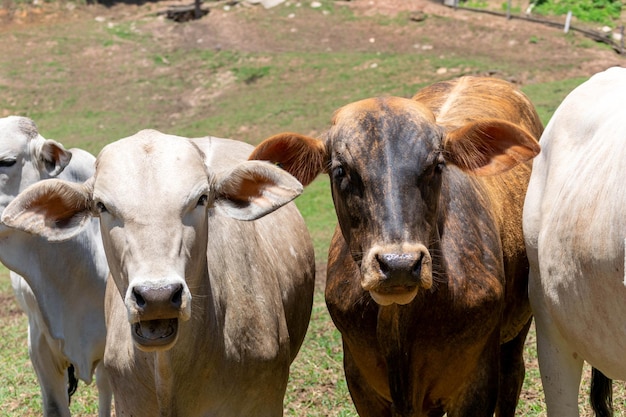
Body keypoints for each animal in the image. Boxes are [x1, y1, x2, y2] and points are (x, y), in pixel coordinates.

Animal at [249, 75, 540, 416]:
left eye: (438, 165)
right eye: (340, 170)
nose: (399, 264)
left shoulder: (476, 381)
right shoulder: (361, 382)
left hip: (518, 328)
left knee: (513, 375)